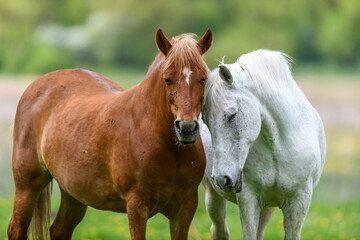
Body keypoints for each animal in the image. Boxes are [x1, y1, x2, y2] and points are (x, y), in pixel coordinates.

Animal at [7, 29, 211, 239]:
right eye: (167, 79)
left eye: (203, 78)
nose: (186, 128)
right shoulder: (137, 206)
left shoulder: (184, 209)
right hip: (28, 185)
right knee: (16, 229)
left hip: (73, 193)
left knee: (59, 231)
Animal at [200, 49, 326, 240]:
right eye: (206, 120)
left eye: (232, 115)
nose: (222, 178)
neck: (280, 146)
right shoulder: (248, 199)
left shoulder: (300, 201)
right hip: (213, 196)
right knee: (219, 231)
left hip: (267, 207)